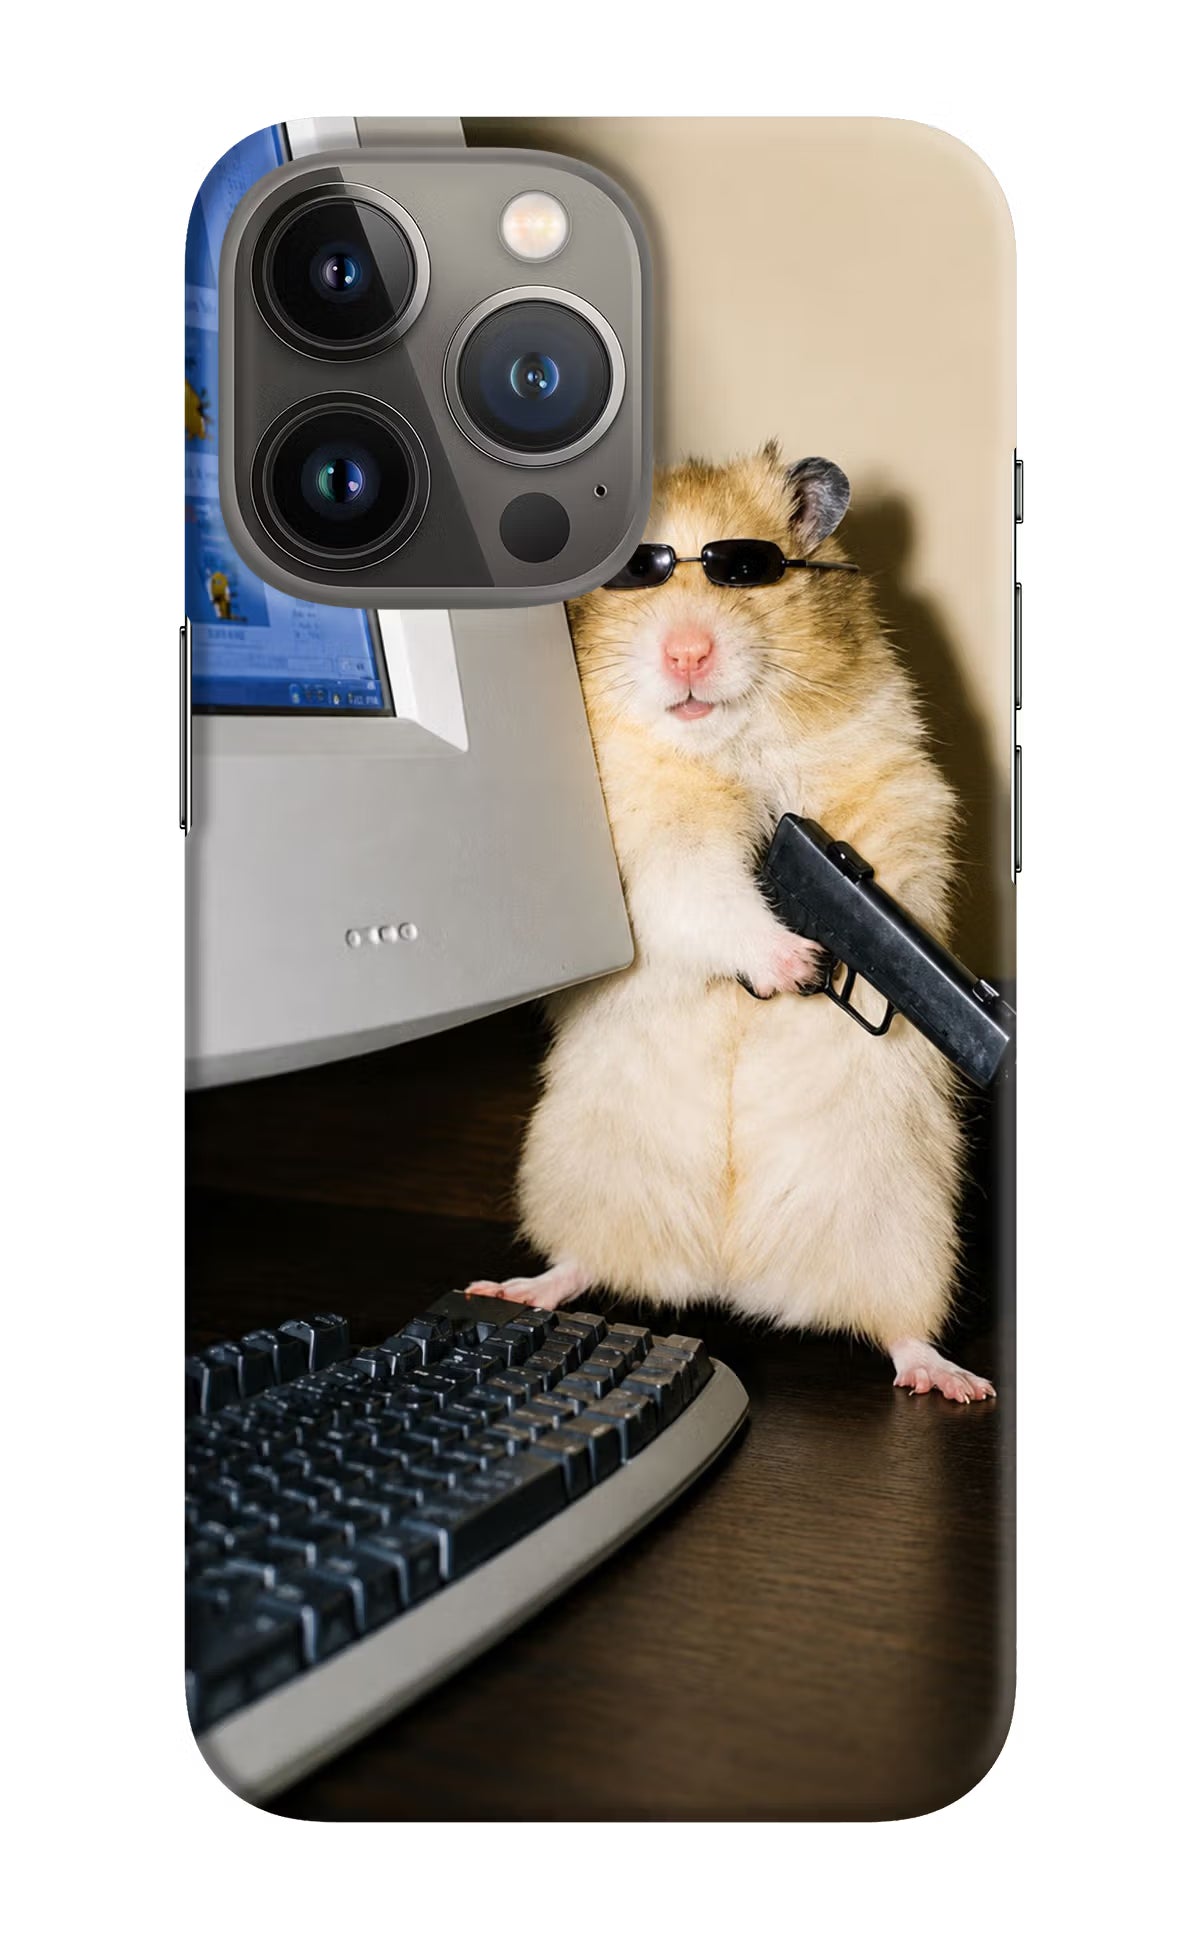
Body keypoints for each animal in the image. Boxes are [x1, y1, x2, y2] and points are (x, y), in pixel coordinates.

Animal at [469, 445, 994, 1402]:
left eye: (746, 570)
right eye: (634, 574)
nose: (687, 652)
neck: (725, 746)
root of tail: (730, 1276)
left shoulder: (894, 788)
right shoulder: (649, 850)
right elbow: (708, 895)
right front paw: (797, 964)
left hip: (907, 1229)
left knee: (899, 1329)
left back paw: (954, 1382)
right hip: (579, 1176)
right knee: (582, 1263)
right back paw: (515, 1288)